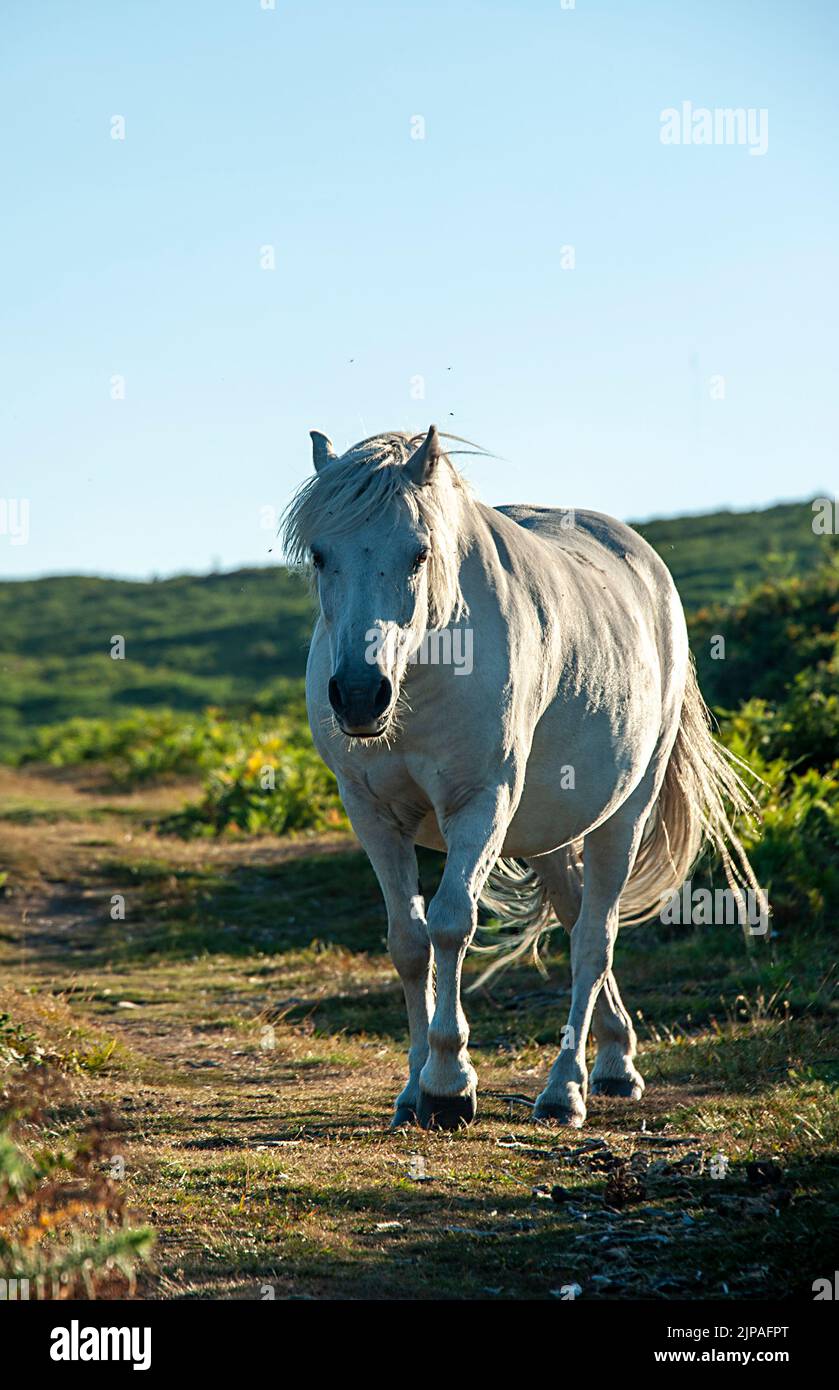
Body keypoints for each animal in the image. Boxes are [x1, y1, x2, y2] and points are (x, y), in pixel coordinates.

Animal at [282, 425, 761, 1130]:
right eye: (321, 555)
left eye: (419, 553)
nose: (361, 696)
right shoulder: (371, 812)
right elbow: (408, 940)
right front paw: (411, 1090)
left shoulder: (482, 802)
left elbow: (451, 923)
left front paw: (449, 1084)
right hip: (551, 830)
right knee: (575, 914)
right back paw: (614, 1058)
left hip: (625, 812)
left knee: (593, 938)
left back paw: (567, 1089)